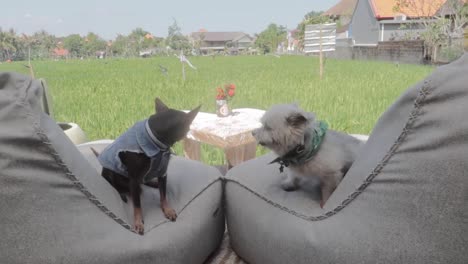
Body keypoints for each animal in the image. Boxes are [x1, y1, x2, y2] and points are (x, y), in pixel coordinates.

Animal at [92, 98, 200, 234]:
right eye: (187, 127)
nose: (189, 133)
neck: (158, 144)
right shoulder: (133, 179)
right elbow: (137, 205)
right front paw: (138, 222)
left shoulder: (162, 172)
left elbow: (163, 195)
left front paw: (167, 210)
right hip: (110, 172)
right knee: (116, 185)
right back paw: (123, 193)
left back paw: (153, 183)